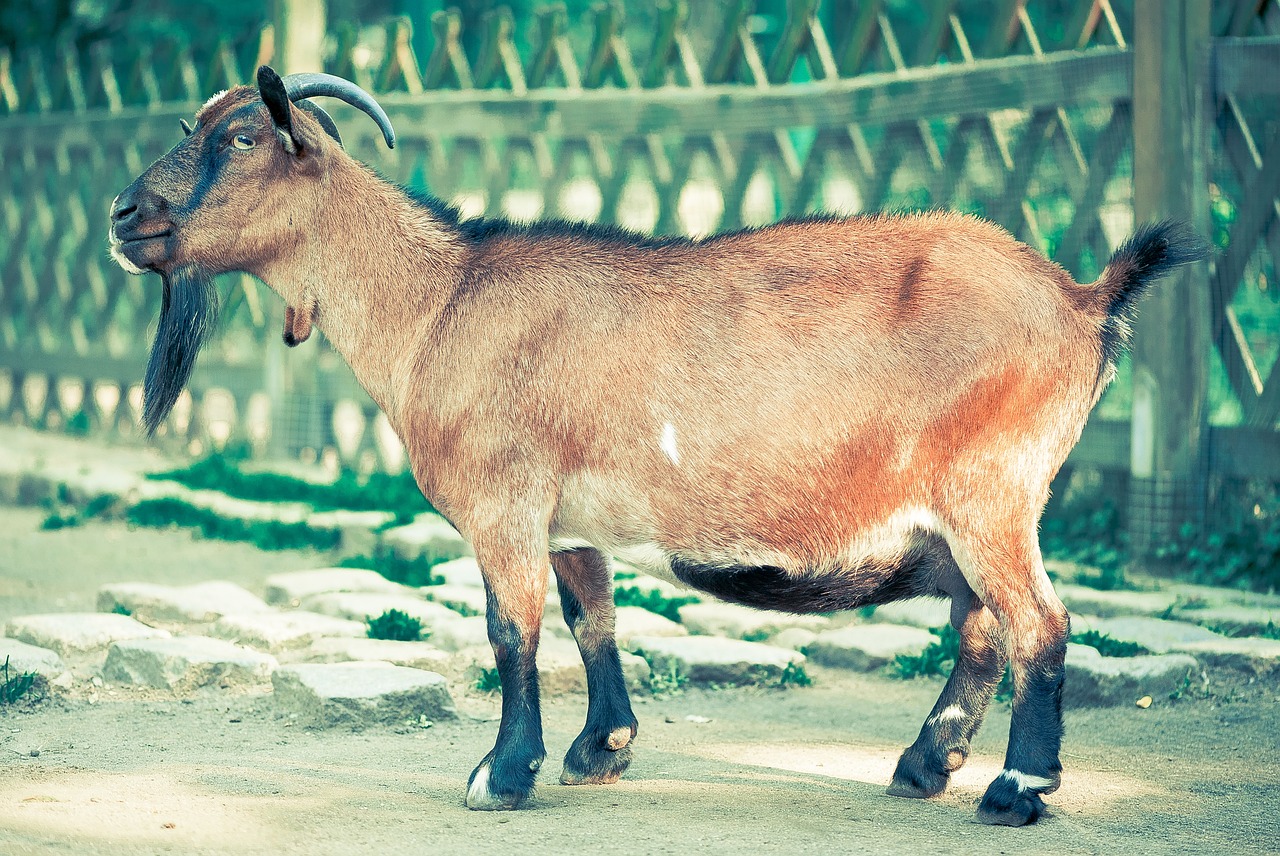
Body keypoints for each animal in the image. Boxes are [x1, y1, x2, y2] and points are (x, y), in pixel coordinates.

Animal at [110, 66, 1208, 818]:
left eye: (241, 136)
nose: (124, 214)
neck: (438, 301)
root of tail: (1083, 298)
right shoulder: (568, 517)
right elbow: (590, 618)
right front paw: (601, 750)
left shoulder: (504, 504)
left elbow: (510, 631)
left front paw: (500, 773)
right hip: (971, 509)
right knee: (981, 625)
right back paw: (921, 765)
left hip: (992, 488)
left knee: (1037, 625)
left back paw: (1016, 787)